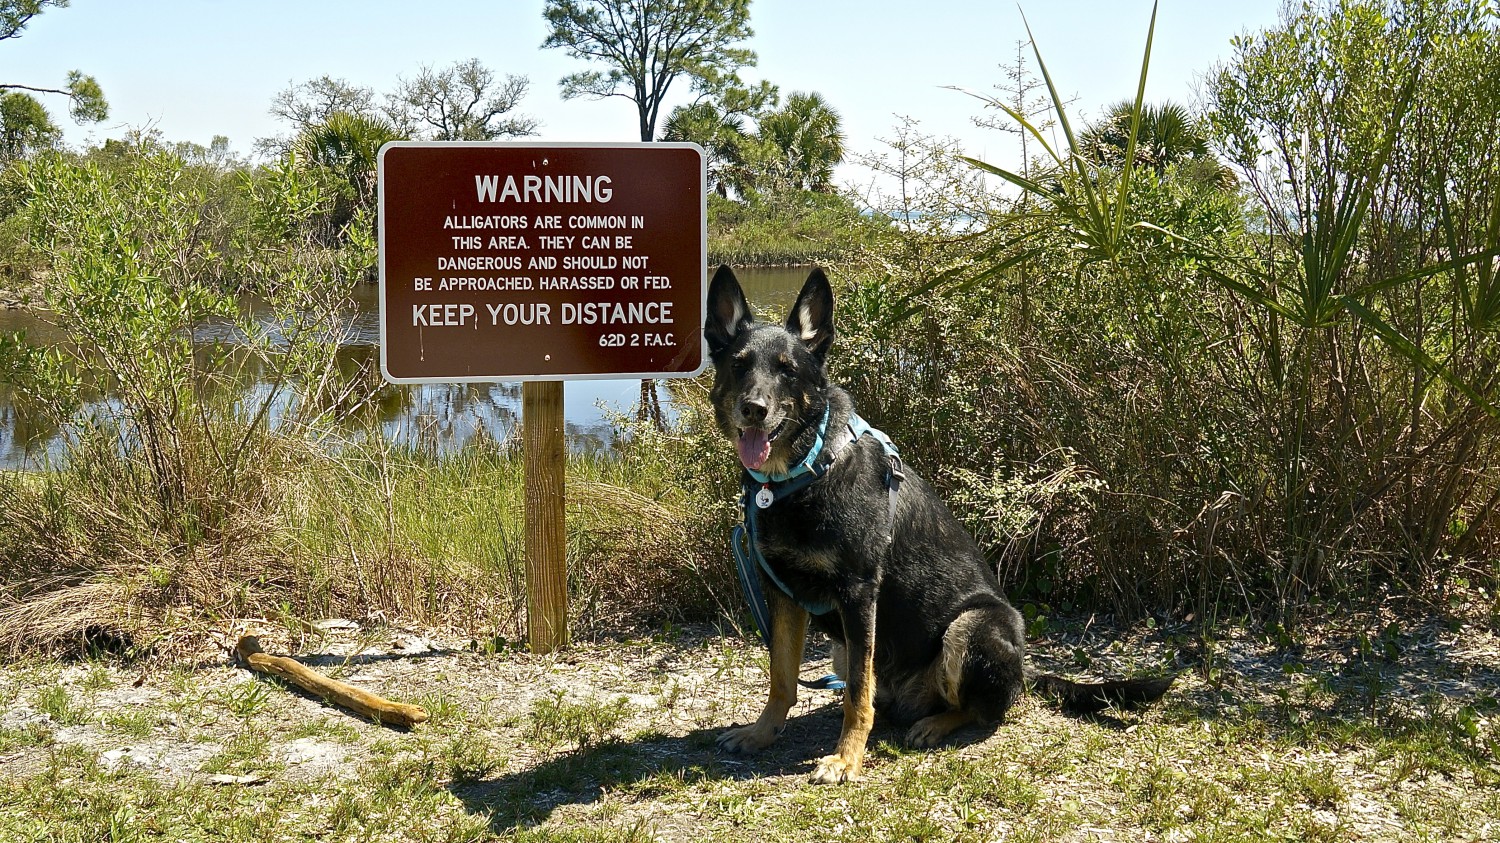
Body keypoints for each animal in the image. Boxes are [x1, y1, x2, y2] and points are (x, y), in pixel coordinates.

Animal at [708, 264, 1176, 780]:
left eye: (787, 369)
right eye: (739, 365)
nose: (754, 409)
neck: (805, 470)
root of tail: (1025, 669)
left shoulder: (859, 593)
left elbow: (856, 695)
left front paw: (847, 758)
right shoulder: (783, 594)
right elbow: (782, 677)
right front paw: (761, 733)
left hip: (972, 625)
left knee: (980, 709)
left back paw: (935, 724)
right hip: (849, 647)